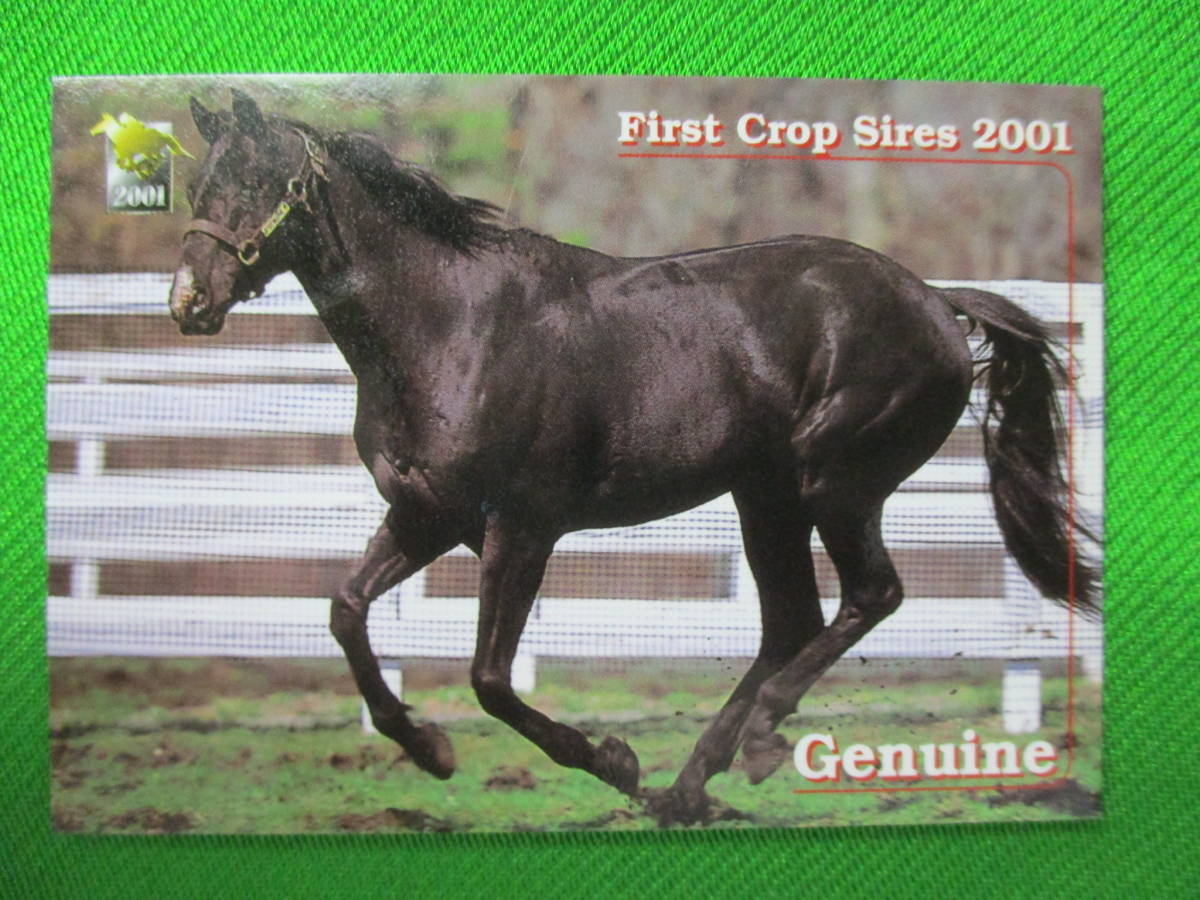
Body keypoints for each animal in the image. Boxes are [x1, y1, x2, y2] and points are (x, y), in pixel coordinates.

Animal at [169, 90, 1097, 824]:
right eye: (199, 184)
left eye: (260, 184)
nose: (188, 301)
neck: (453, 327)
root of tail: (935, 302)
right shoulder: (426, 516)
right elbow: (348, 612)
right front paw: (430, 751)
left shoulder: (523, 527)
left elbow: (490, 678)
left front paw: (612, 760)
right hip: (765, 498)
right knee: (790, 623)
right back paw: (687, 790)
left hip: (833, 482)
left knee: (872, 596)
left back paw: (754, 745)